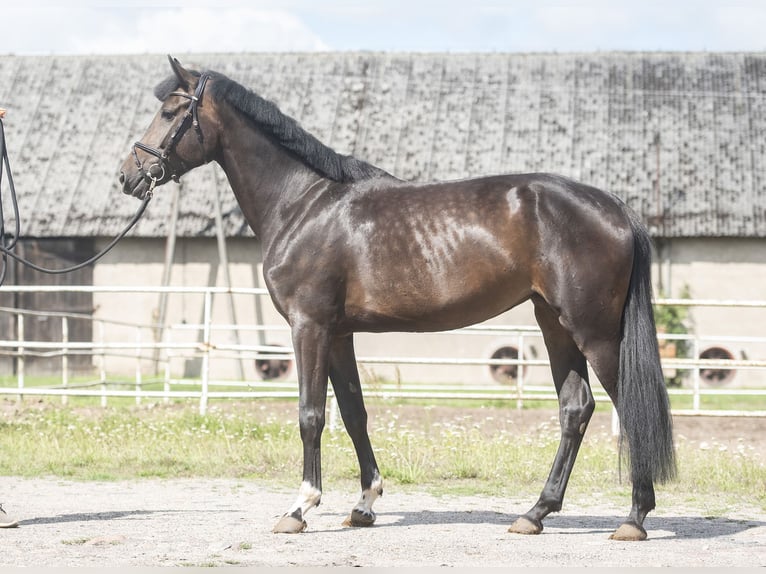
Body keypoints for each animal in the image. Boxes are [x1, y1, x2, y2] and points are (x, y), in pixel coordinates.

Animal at [120, 56, 680, 544]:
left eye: (170, 111)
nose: (128, 175)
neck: (302, 204)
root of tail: (614, 206)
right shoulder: (339, 334)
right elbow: (353, 413)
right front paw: (364, 505)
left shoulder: (309, 327)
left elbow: (310, 415)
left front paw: (299, 508)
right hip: (554, 324)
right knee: (575, 409)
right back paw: (535, 513)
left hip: (594, 332)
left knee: (627, 407)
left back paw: (633, 519)